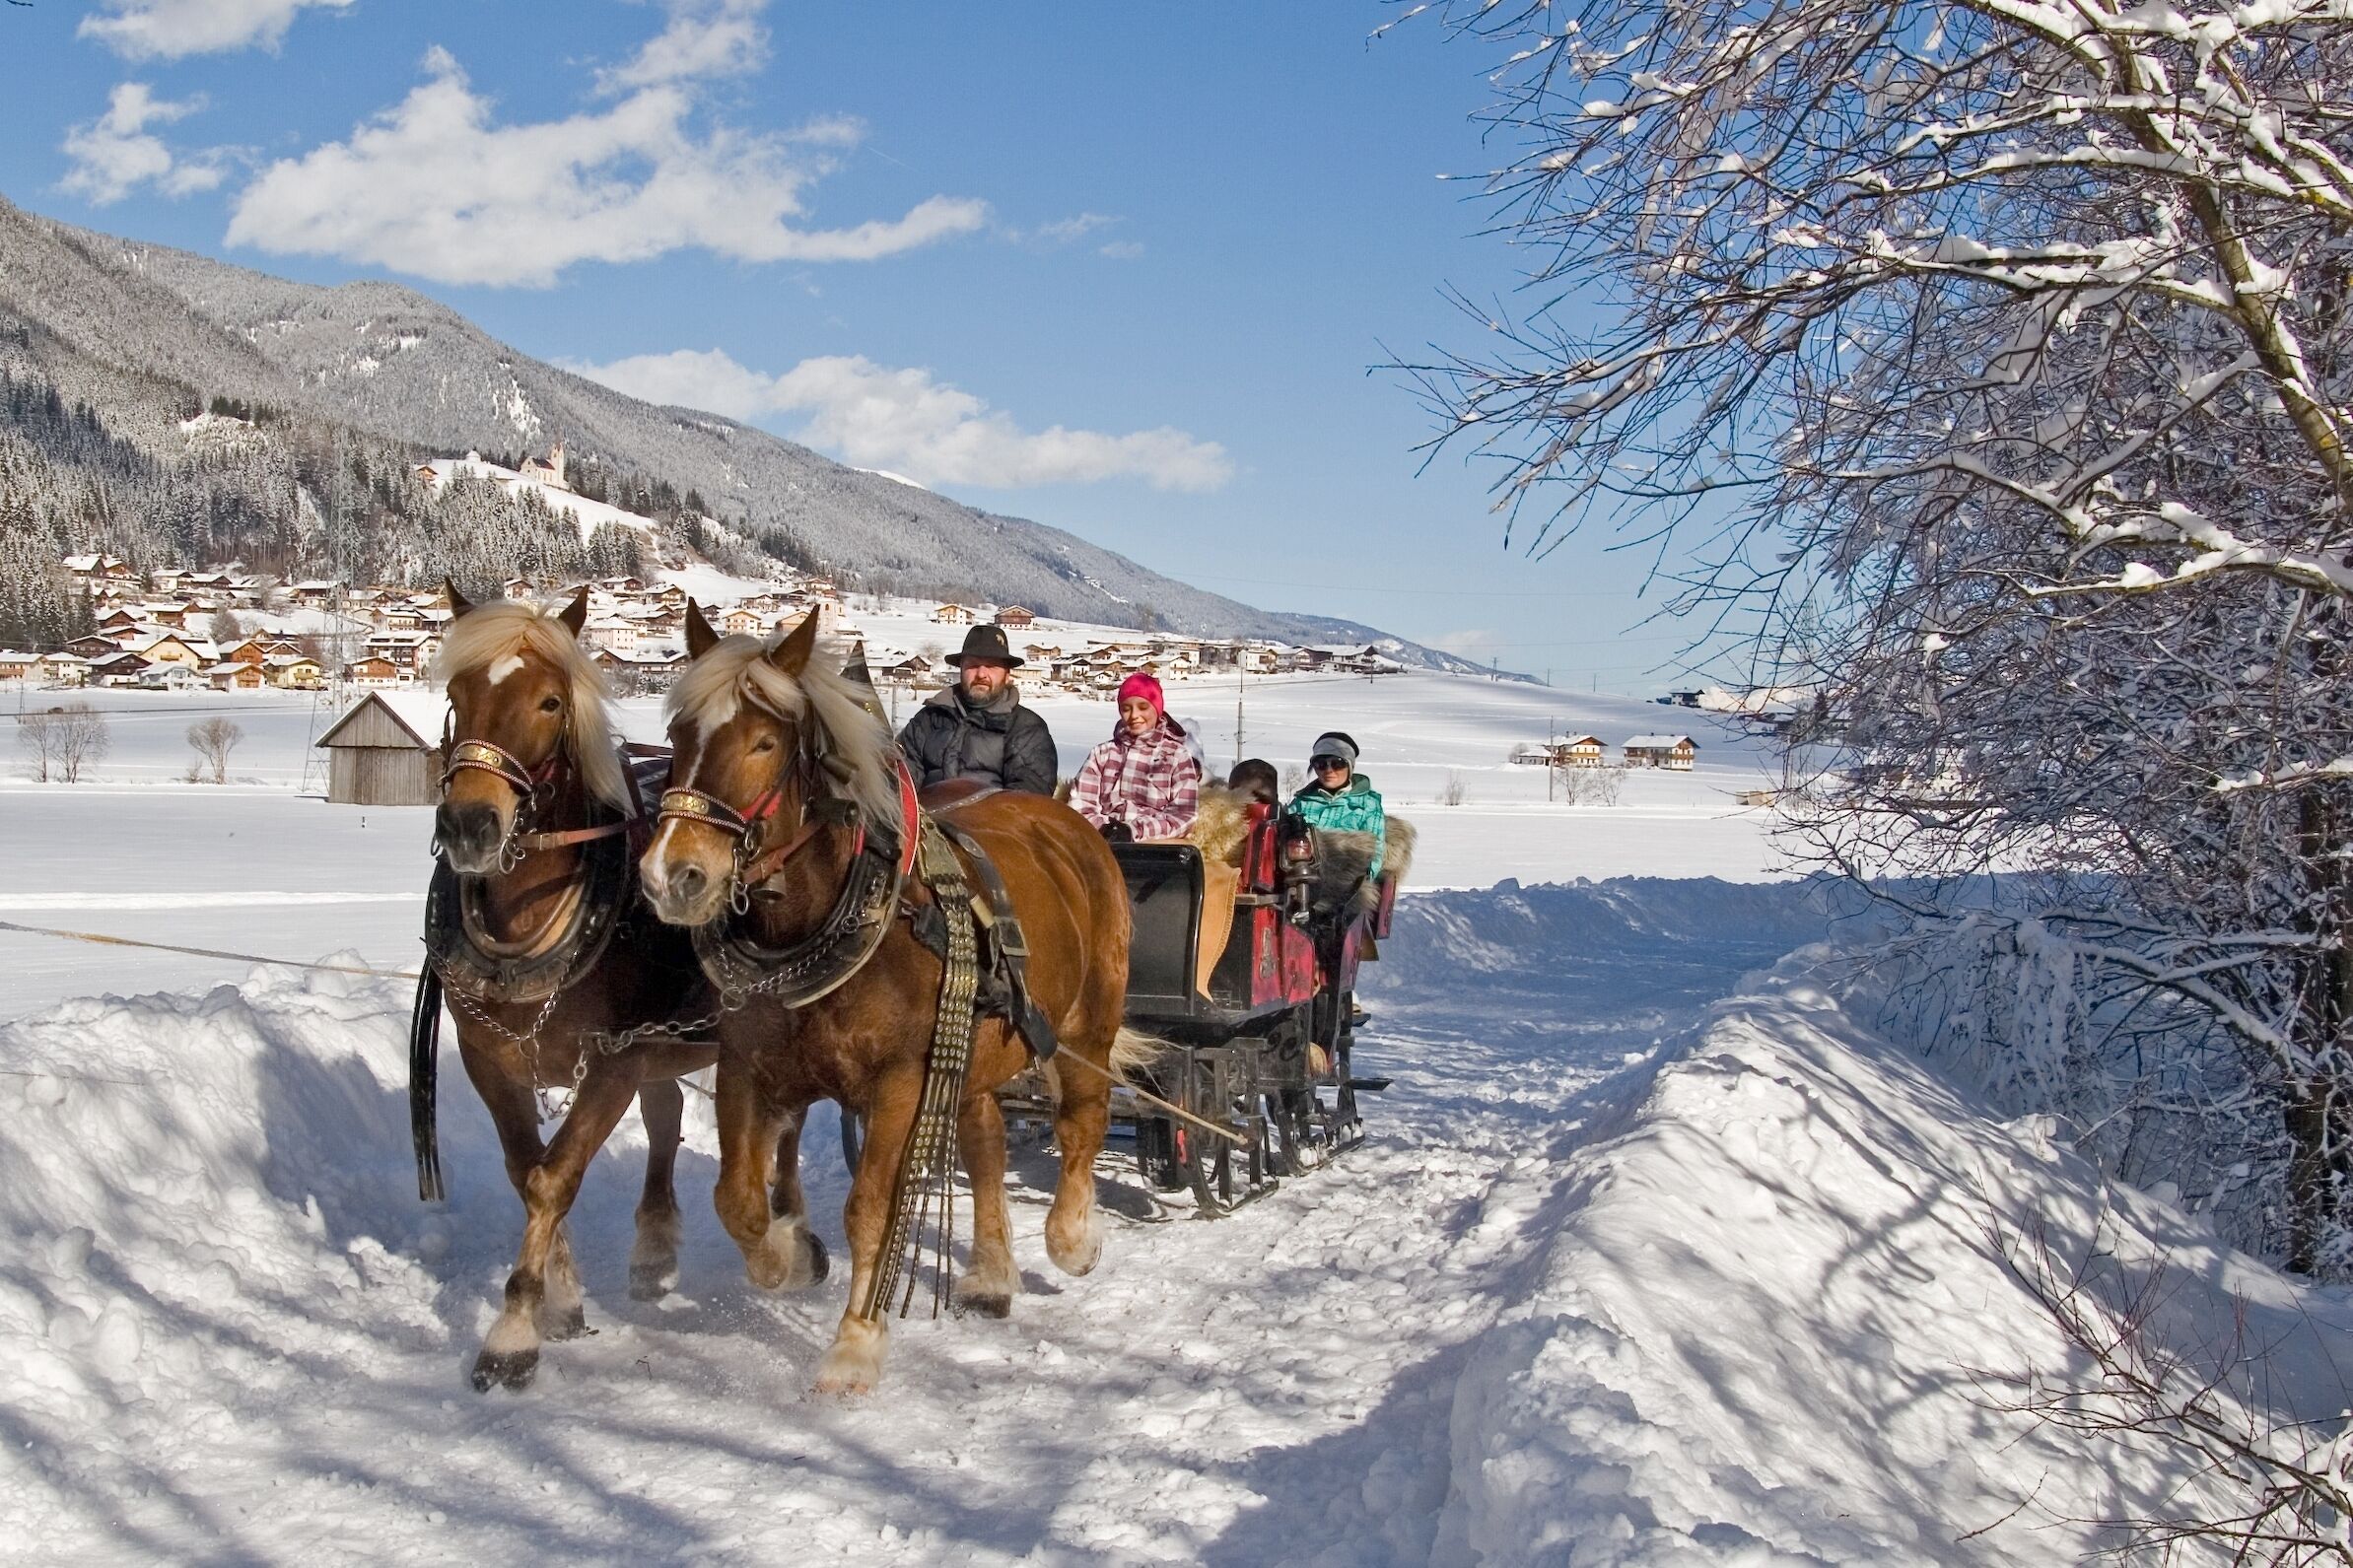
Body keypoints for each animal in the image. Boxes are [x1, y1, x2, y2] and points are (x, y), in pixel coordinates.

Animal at [430, 585, 825, 1394]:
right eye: (457, 695)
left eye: (550, 701)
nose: (470, 825)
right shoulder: (491, 1059)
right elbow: (526, 1171)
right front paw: (560, 1299)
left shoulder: (610, 1060)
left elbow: (555, 1178)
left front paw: (512, 1332)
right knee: (669, 1114)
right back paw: (654, 1250)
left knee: (782, 1126)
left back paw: (789, 1227)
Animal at [638, 605, 1145, 1394]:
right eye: (679, 736)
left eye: (764, 742)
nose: (673, 875)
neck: (816, 924)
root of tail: (1073, 828)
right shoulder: (747, 1068)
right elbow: (736, 1199)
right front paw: (791, 1256)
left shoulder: (899, 1084)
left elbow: (871, 1211)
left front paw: (855, 1344)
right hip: (971, 1051)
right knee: (987, 1141)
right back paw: (990, 1274)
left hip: (1086, 1026)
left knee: (1081, 1123)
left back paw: (1071, 1238)